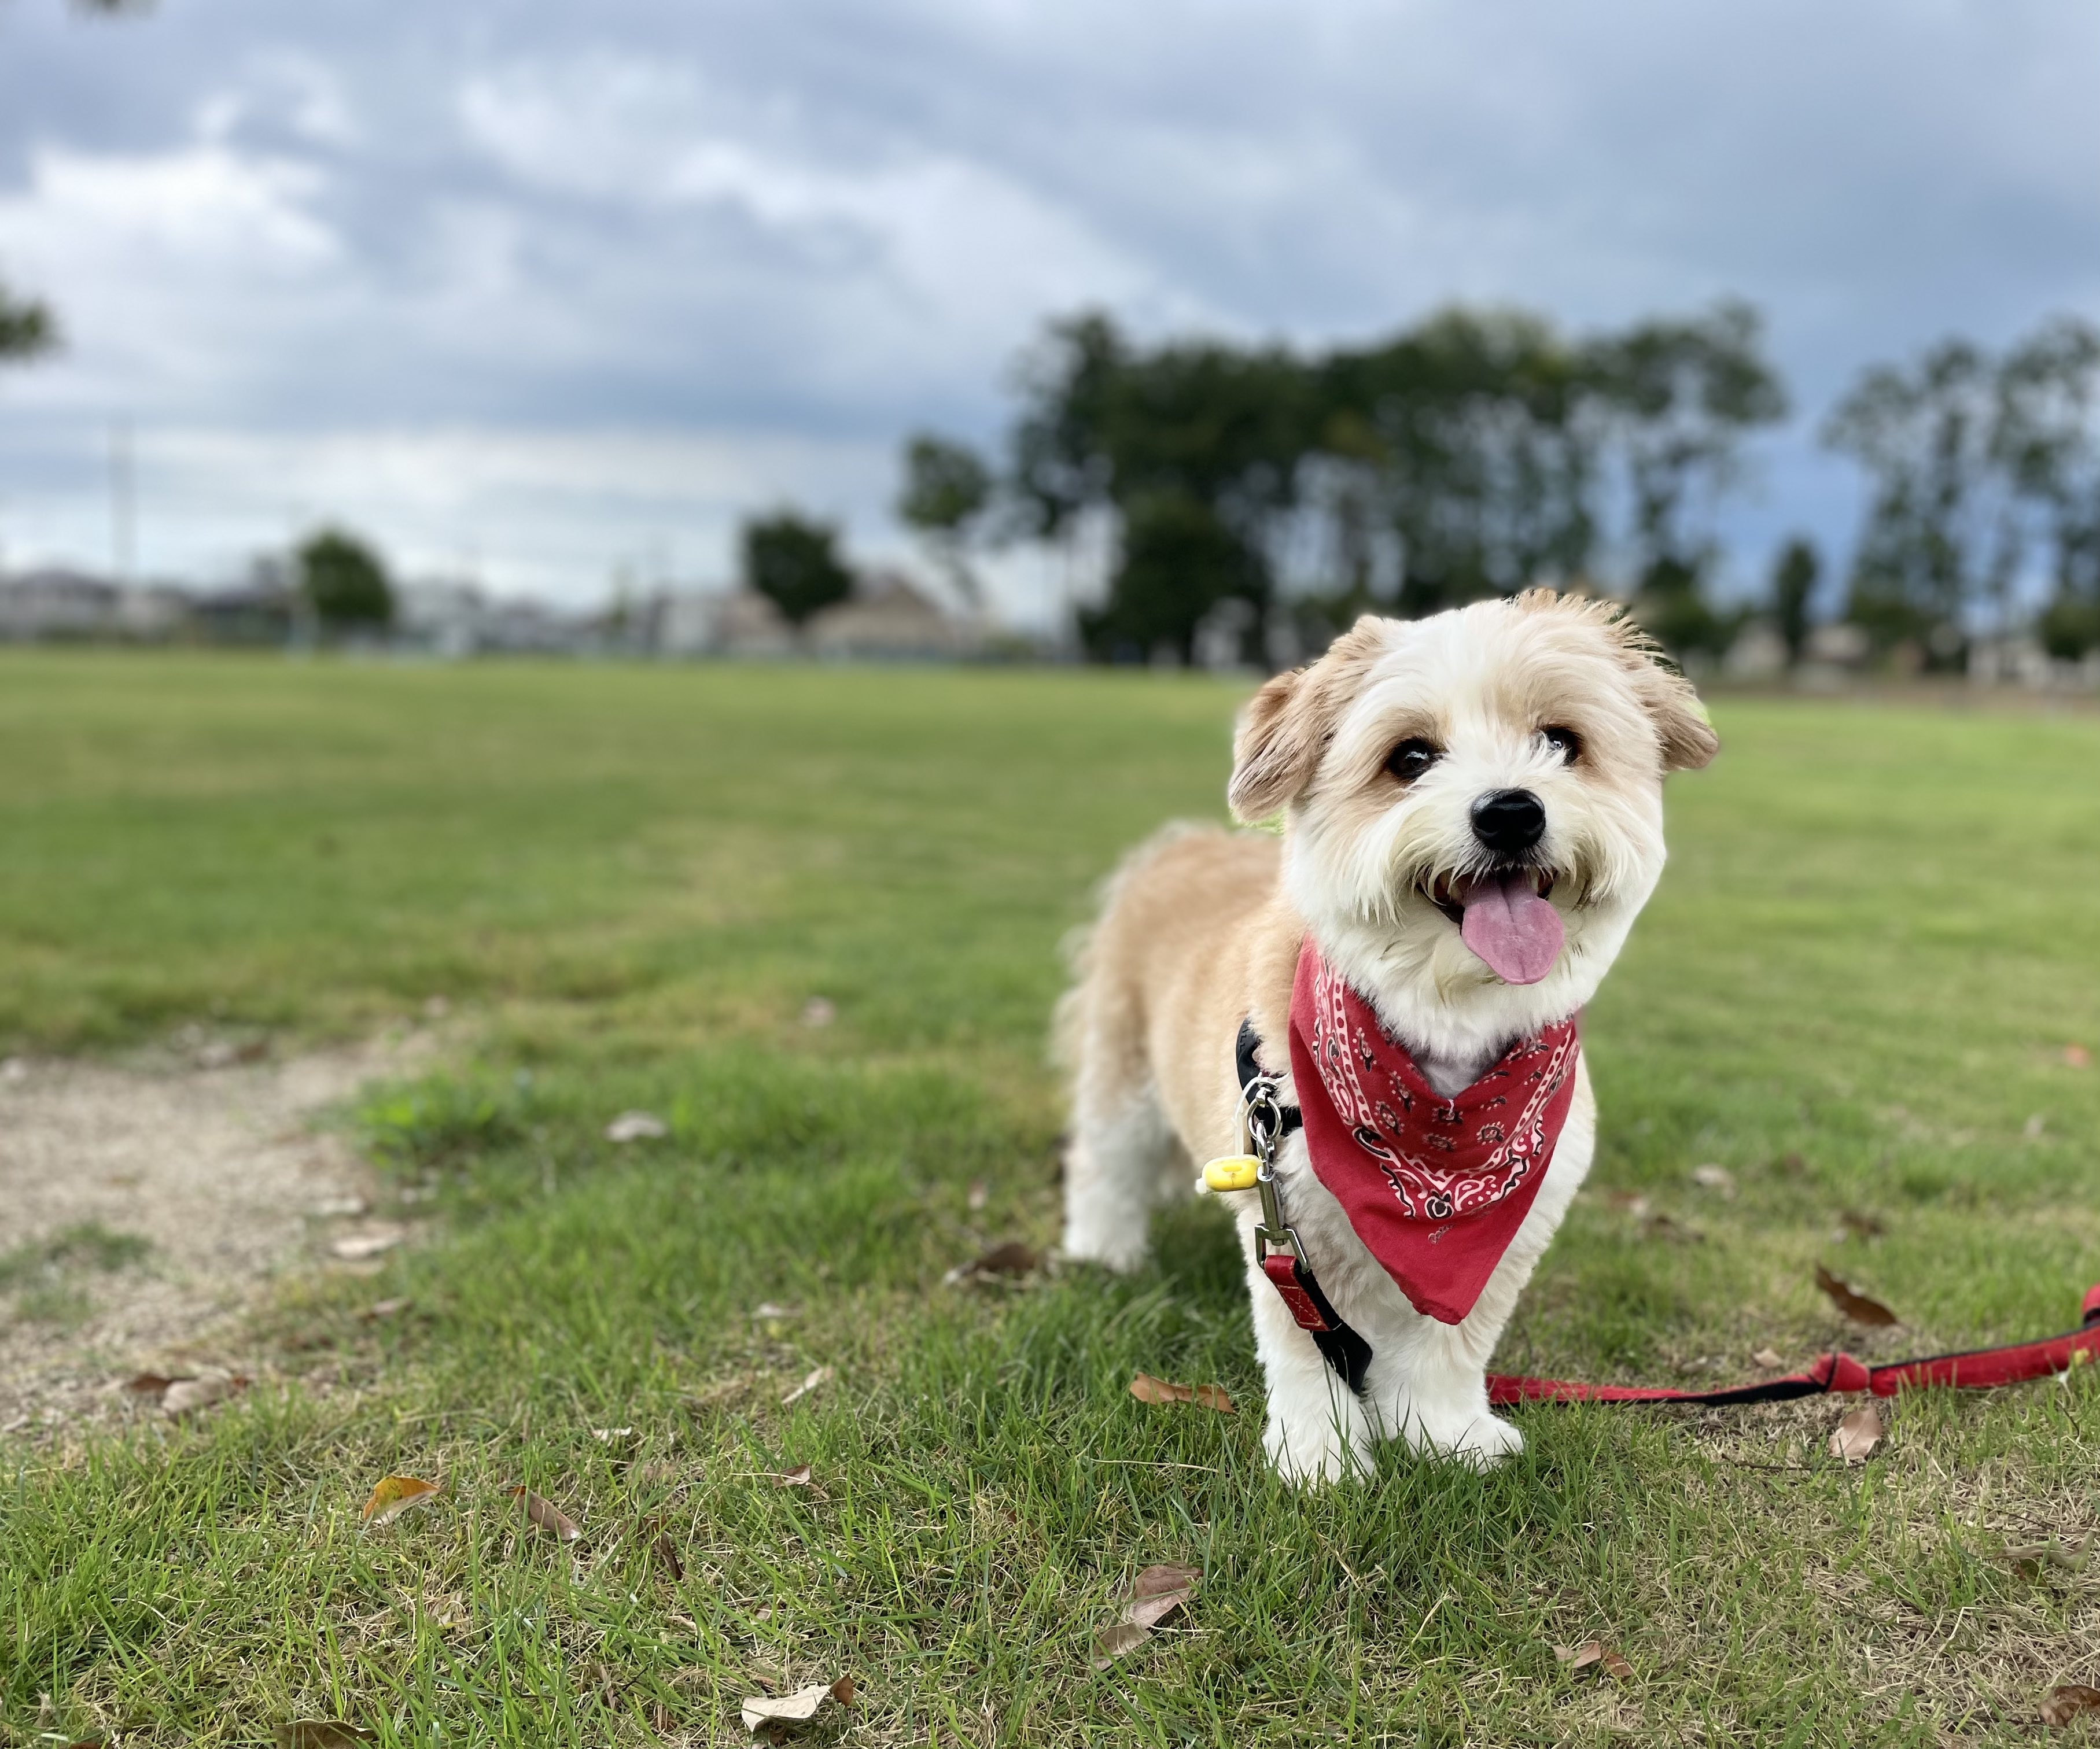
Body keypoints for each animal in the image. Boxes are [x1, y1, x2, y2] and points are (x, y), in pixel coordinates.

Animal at [1058, 588, 1714, 1478]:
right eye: (1409, 757)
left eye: (1559, 741)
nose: (1511, 811)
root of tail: (1178, 843)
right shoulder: (1292, 1225)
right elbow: (1307, 1352)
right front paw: (1321, 1457)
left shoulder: (1504, 1241)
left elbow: (1448, 1343)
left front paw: (1445, 1433)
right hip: (1123, 1073)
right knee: (1105, 1163)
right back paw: (1105, 1251)